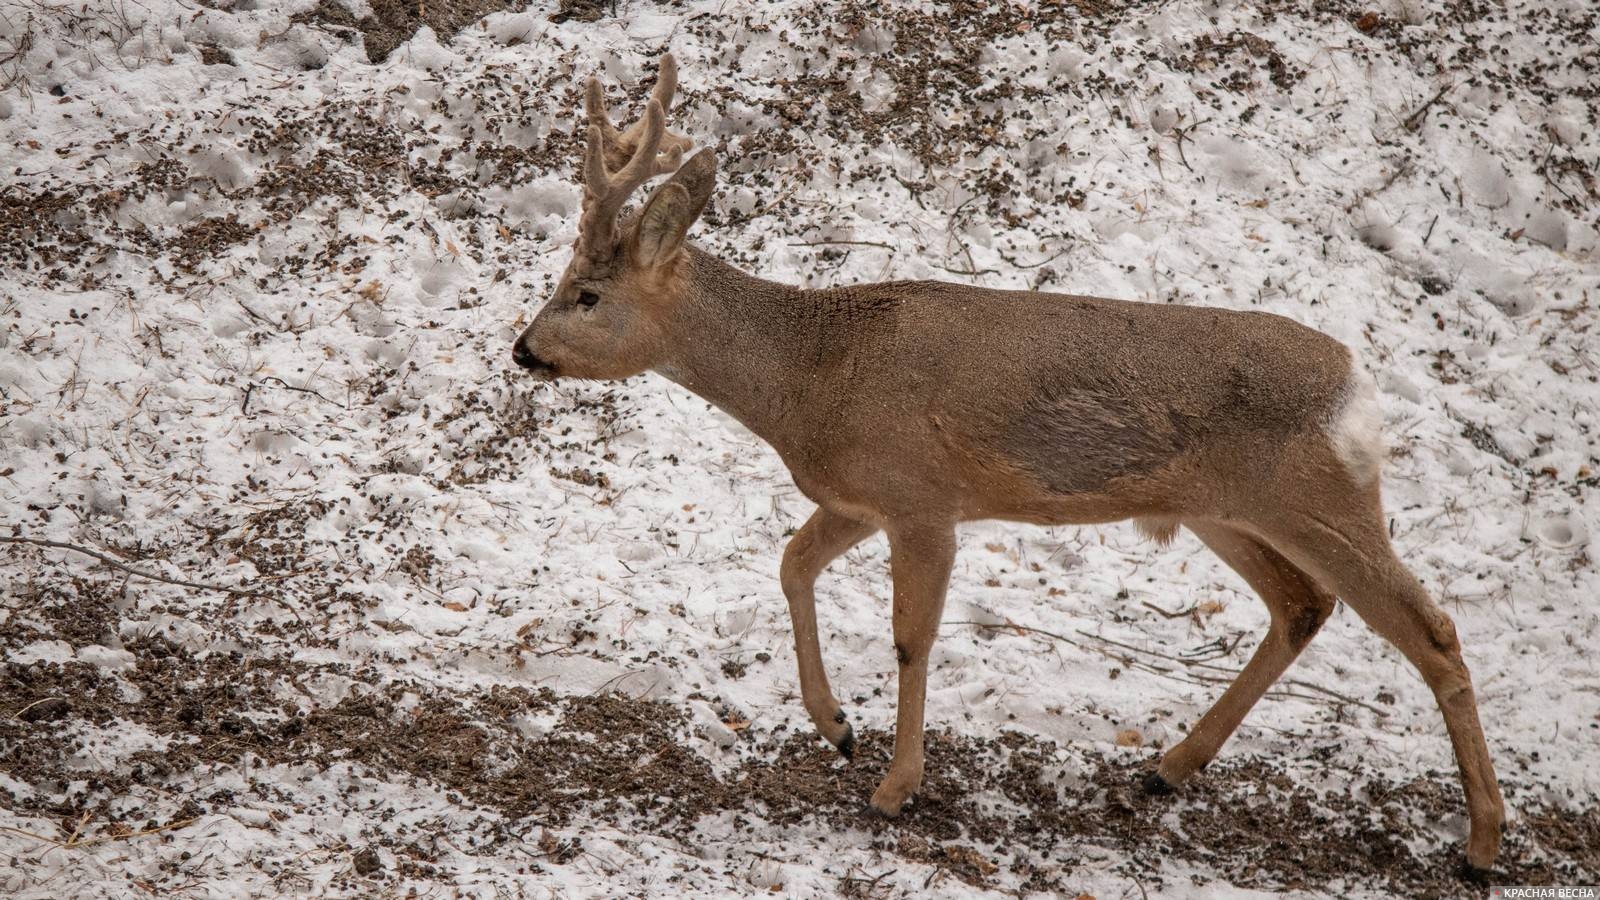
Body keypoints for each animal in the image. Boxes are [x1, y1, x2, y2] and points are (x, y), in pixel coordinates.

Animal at [508, 54, 1497, 871]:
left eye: (585, 294)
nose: (522, 349)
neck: (811, 377)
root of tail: (1356, 387)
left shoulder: (922, 498)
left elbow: (911, 637)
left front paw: (895, 787)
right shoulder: (861, 496)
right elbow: (791, 564)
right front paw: (838, 729)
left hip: (1321, 498)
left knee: (1434, 629)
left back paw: (1482, 844)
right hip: (1226, 510)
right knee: (1303, 605)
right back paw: (1168, 768)